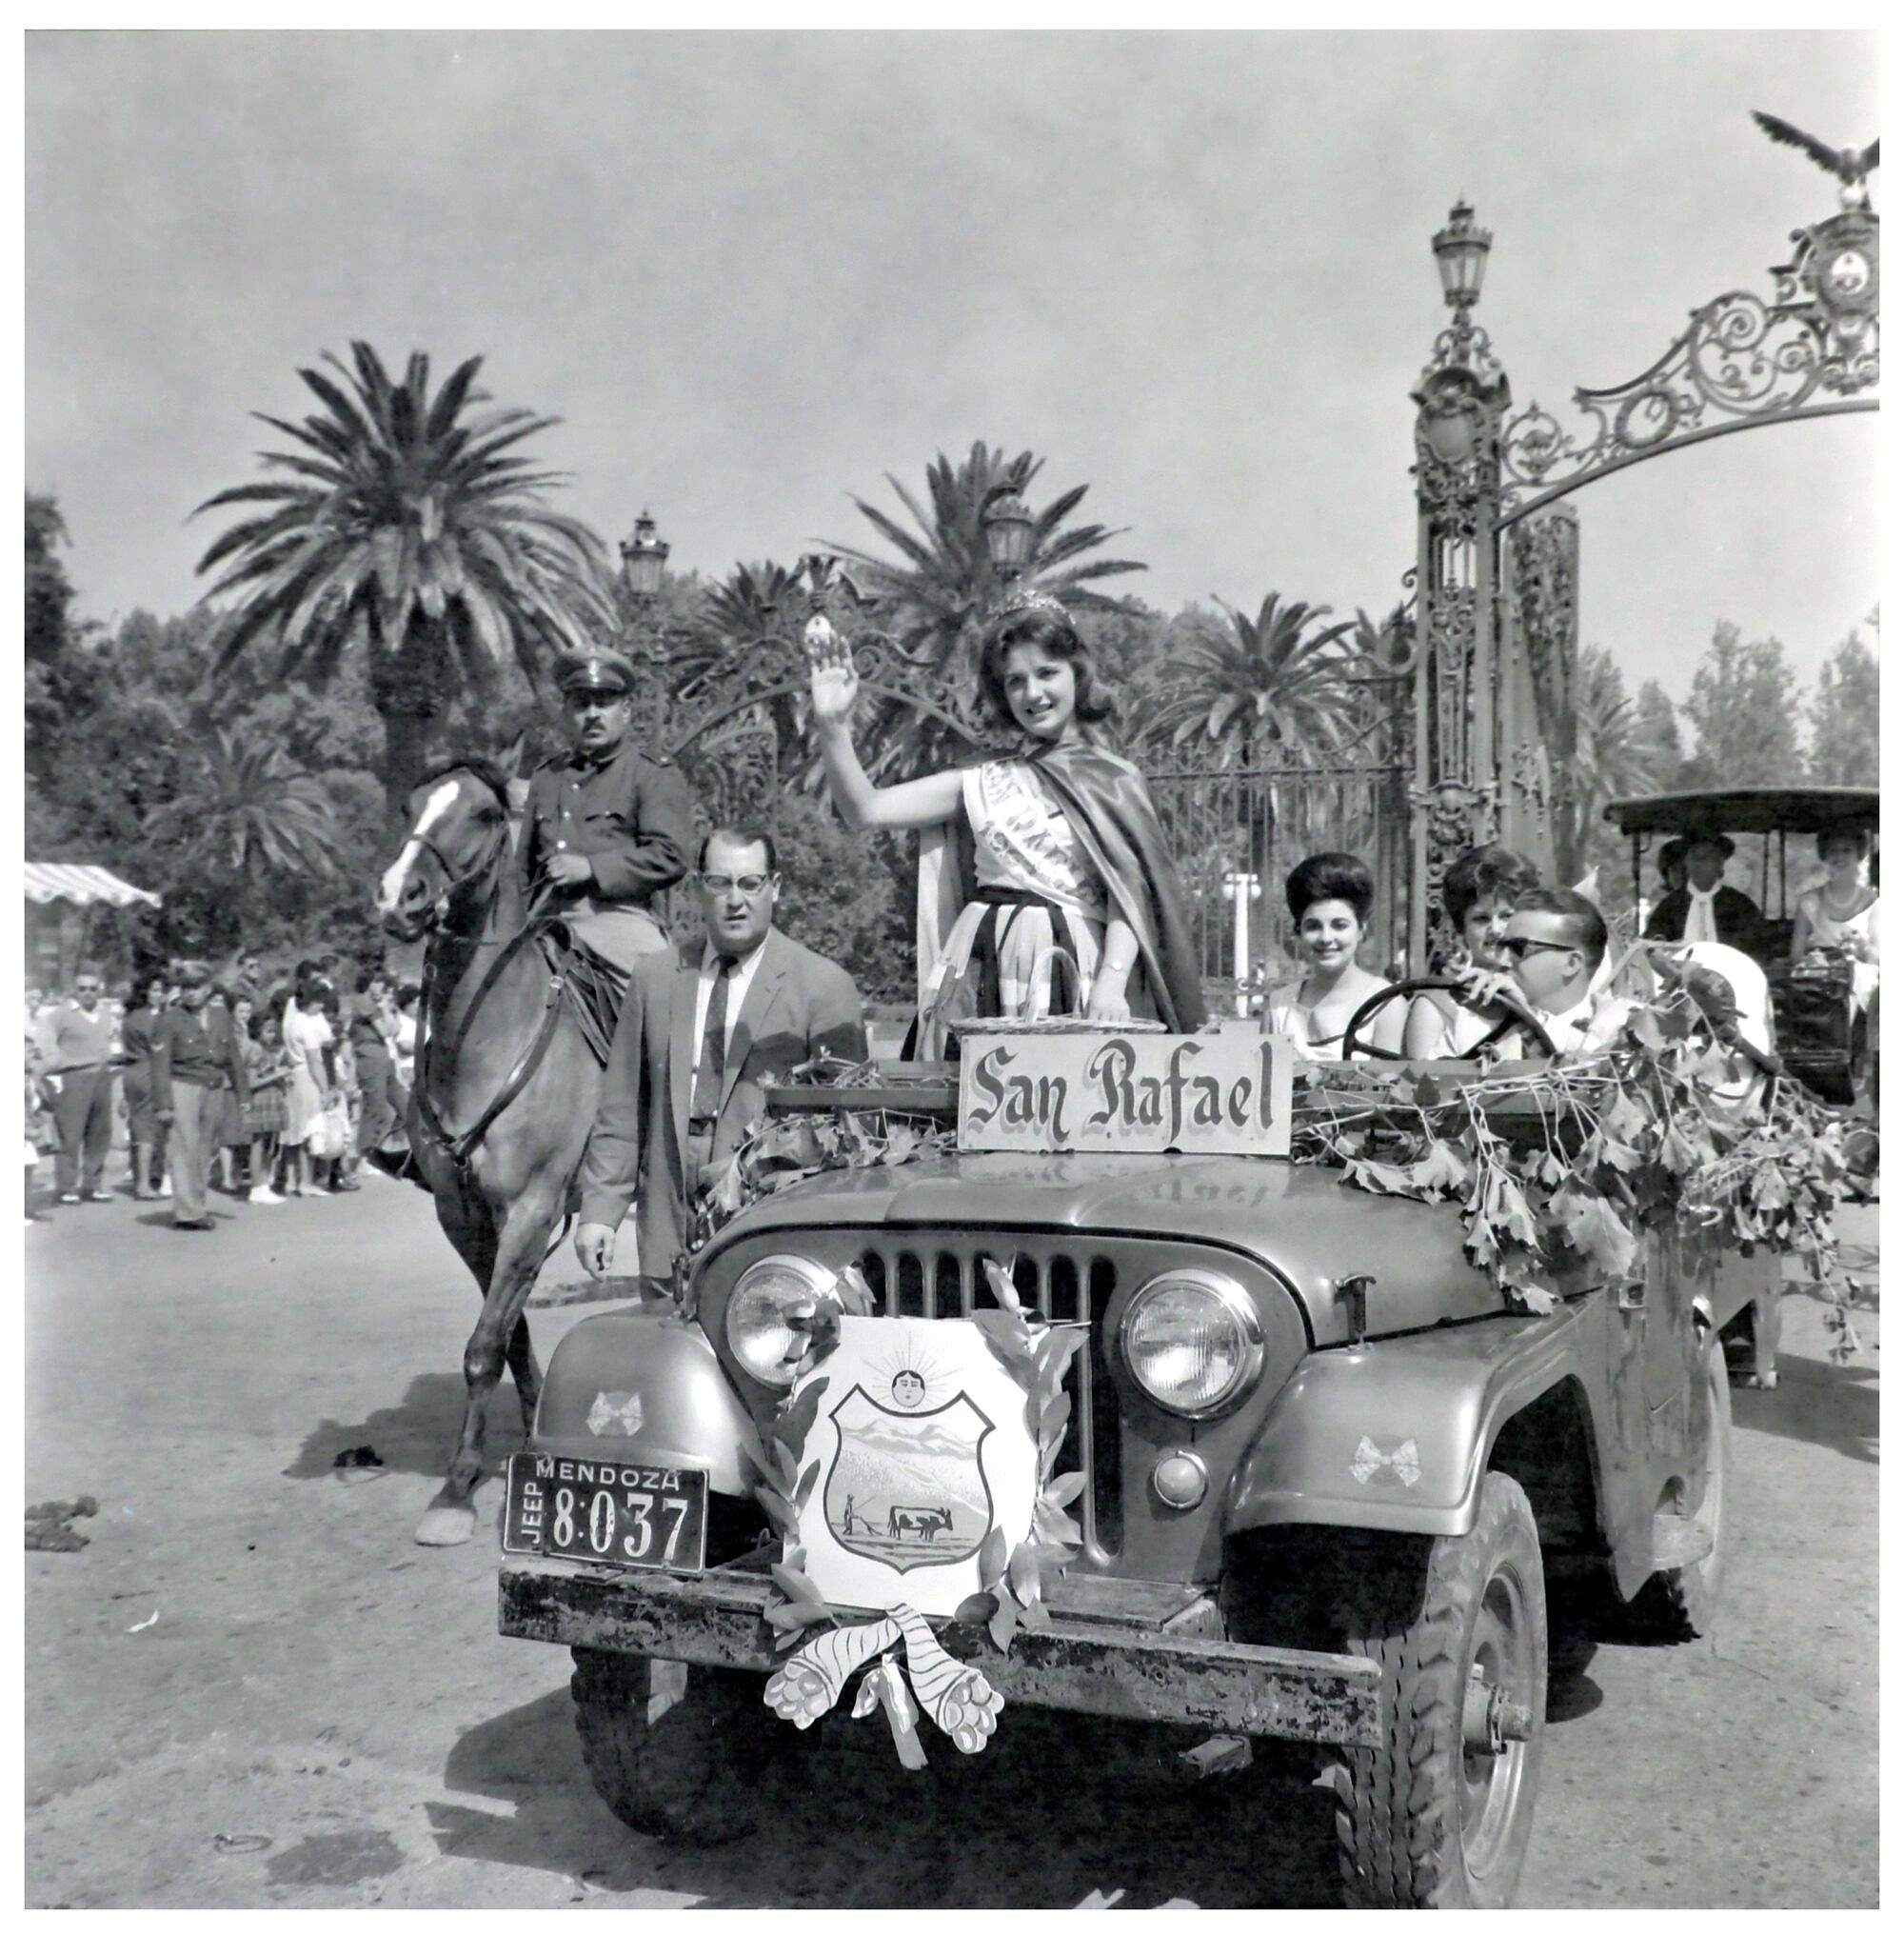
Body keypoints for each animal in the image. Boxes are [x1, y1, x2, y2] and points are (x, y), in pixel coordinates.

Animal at [370, 750, 610, 1539]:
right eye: (410, 804)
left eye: (479, 813)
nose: (398, 894)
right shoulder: (466, 1217)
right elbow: (506, 1335)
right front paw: (520, 1438)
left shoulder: (533, 1209)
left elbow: (483, 1347)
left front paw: (454, 1490)